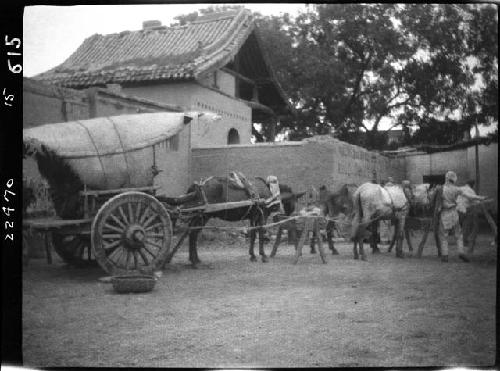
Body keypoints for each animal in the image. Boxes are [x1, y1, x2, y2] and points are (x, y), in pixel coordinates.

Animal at [159, 175, 304, 268]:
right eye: (294, 201)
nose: (290, 216)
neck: (271, 193)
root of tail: (195, 187)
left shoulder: (252, 216)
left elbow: (253, 235)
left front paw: (252, 255)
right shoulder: (262, 214)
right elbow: (261, 233)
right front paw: (263, 255)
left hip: (199, 215)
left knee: (191, 234)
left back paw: (194, 260)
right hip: (203, 215)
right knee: (193, 234)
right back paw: (194, 261)